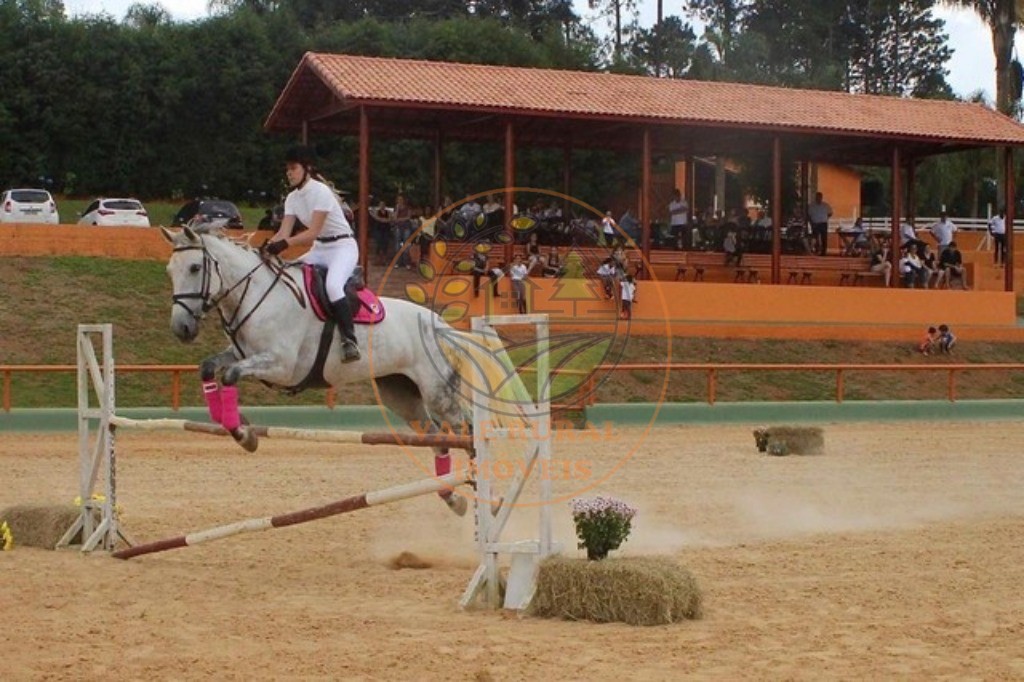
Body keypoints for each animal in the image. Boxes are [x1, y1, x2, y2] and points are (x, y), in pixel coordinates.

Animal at [161, 225, 528, 512]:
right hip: (401, 395)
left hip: (438, 392)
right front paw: (238, 427)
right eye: (169, 271)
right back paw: (453, 498)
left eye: (194, 267)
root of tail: (444, 327)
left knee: (468, 430)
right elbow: (210, 368)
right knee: (437, 438)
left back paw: (483, 495)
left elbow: (231, 374)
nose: (181, 328)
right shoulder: (242, 354)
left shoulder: (281, 364)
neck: (257, 297)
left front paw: (244, 434)